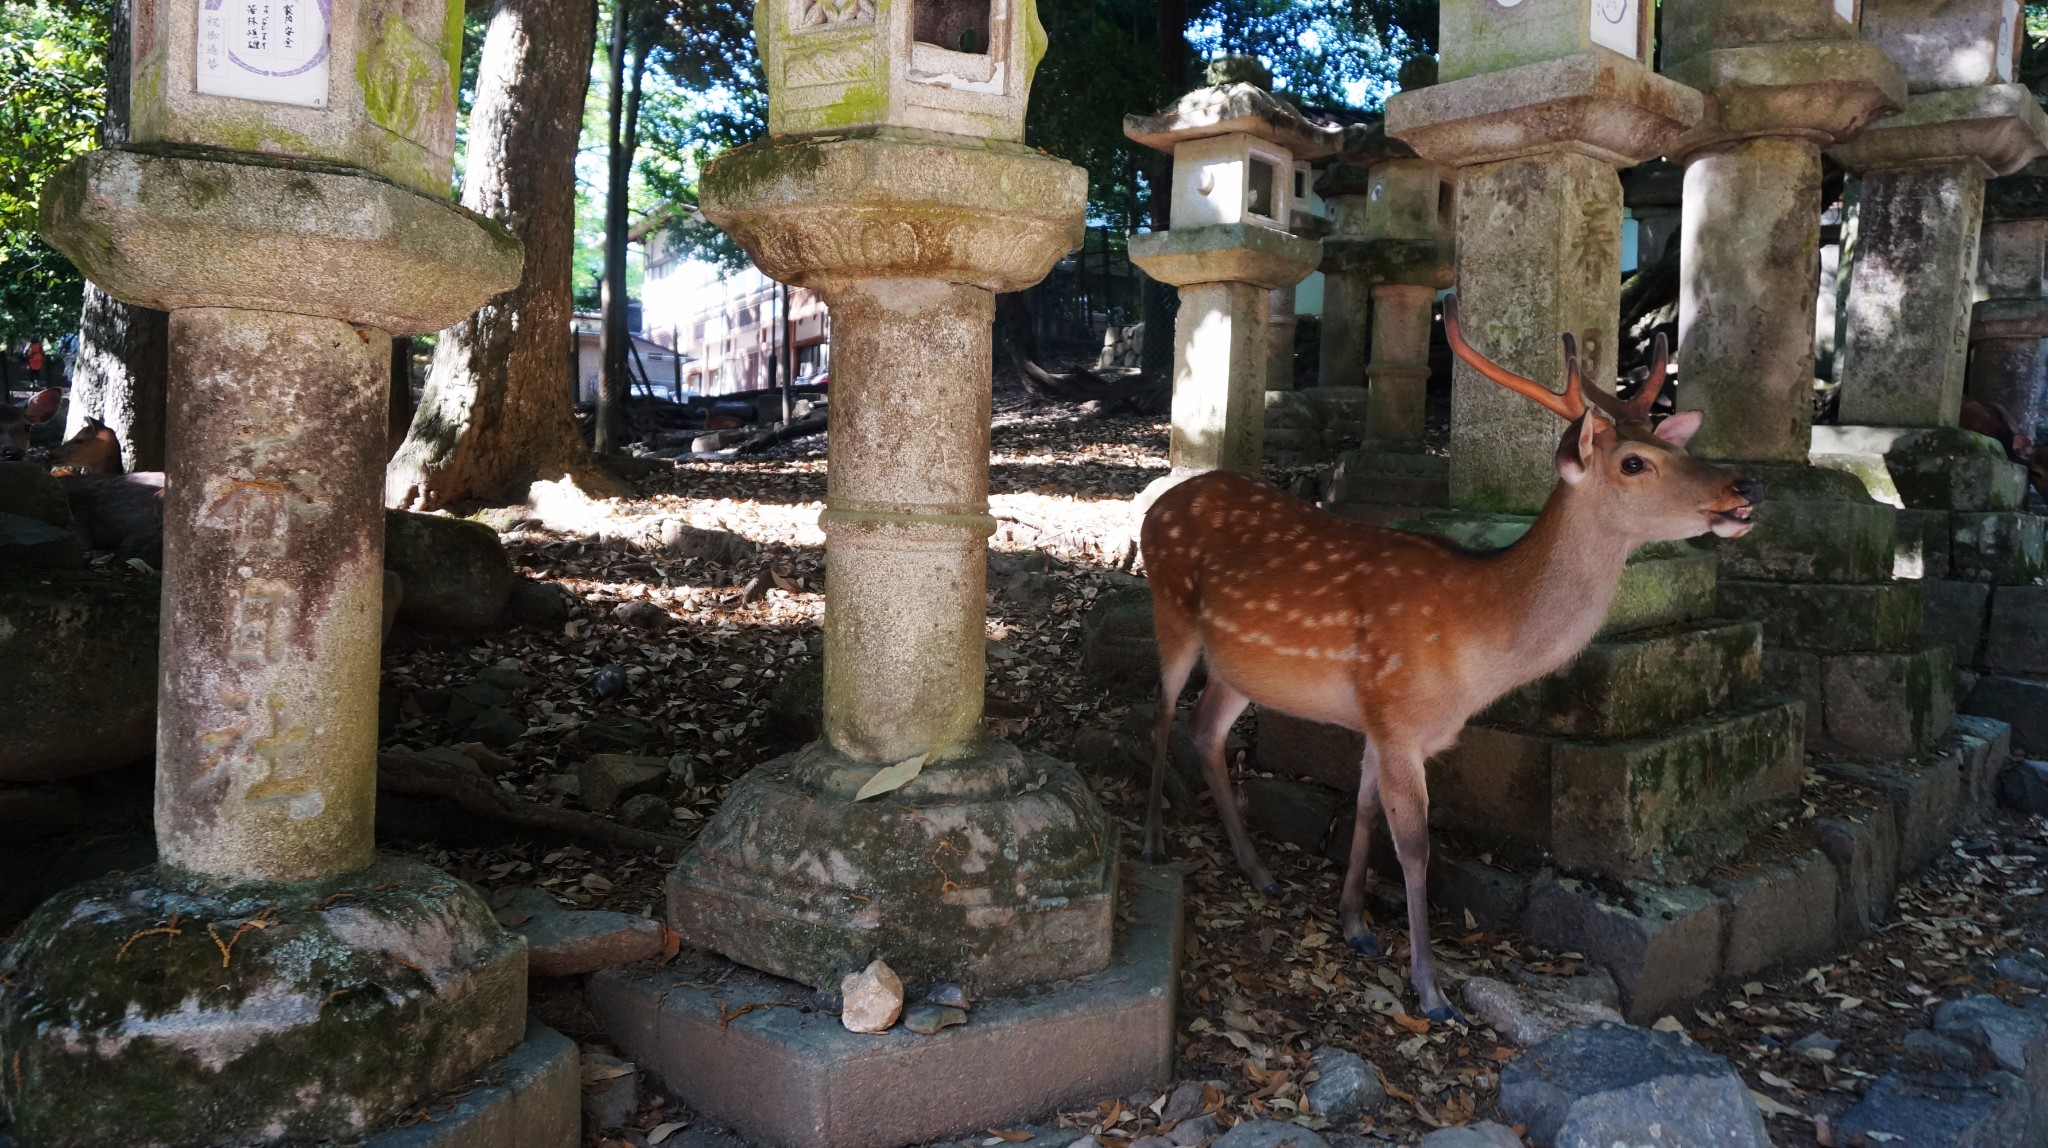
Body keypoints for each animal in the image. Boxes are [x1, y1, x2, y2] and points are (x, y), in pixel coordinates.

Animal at [1146, 294, 1769, 1019]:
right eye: (1635, 462)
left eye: (1677, 442)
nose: (1744, 488)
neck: (1475, 652)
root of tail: (1158, 504)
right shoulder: (1399, 718)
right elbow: (1416, 847)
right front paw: (1430, 988)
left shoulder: (1382, 722)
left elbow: (1363, 808)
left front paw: (1355, 923)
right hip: (1169, 609)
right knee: (1164, 712)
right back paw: (1155, 843)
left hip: (1238, 666)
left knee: (1206, 728)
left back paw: (1259, 870)